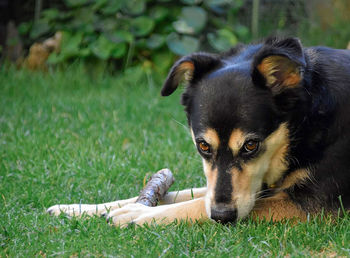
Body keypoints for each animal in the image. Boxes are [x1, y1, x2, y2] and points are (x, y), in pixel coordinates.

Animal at [47, 37, 350, 225]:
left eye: (251, 145)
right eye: (203, 146)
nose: (222, 216)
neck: (307, 122)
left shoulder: (311, 205)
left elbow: (193, 204)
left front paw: (136, 215)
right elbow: (188, 194)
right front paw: (79, 209)